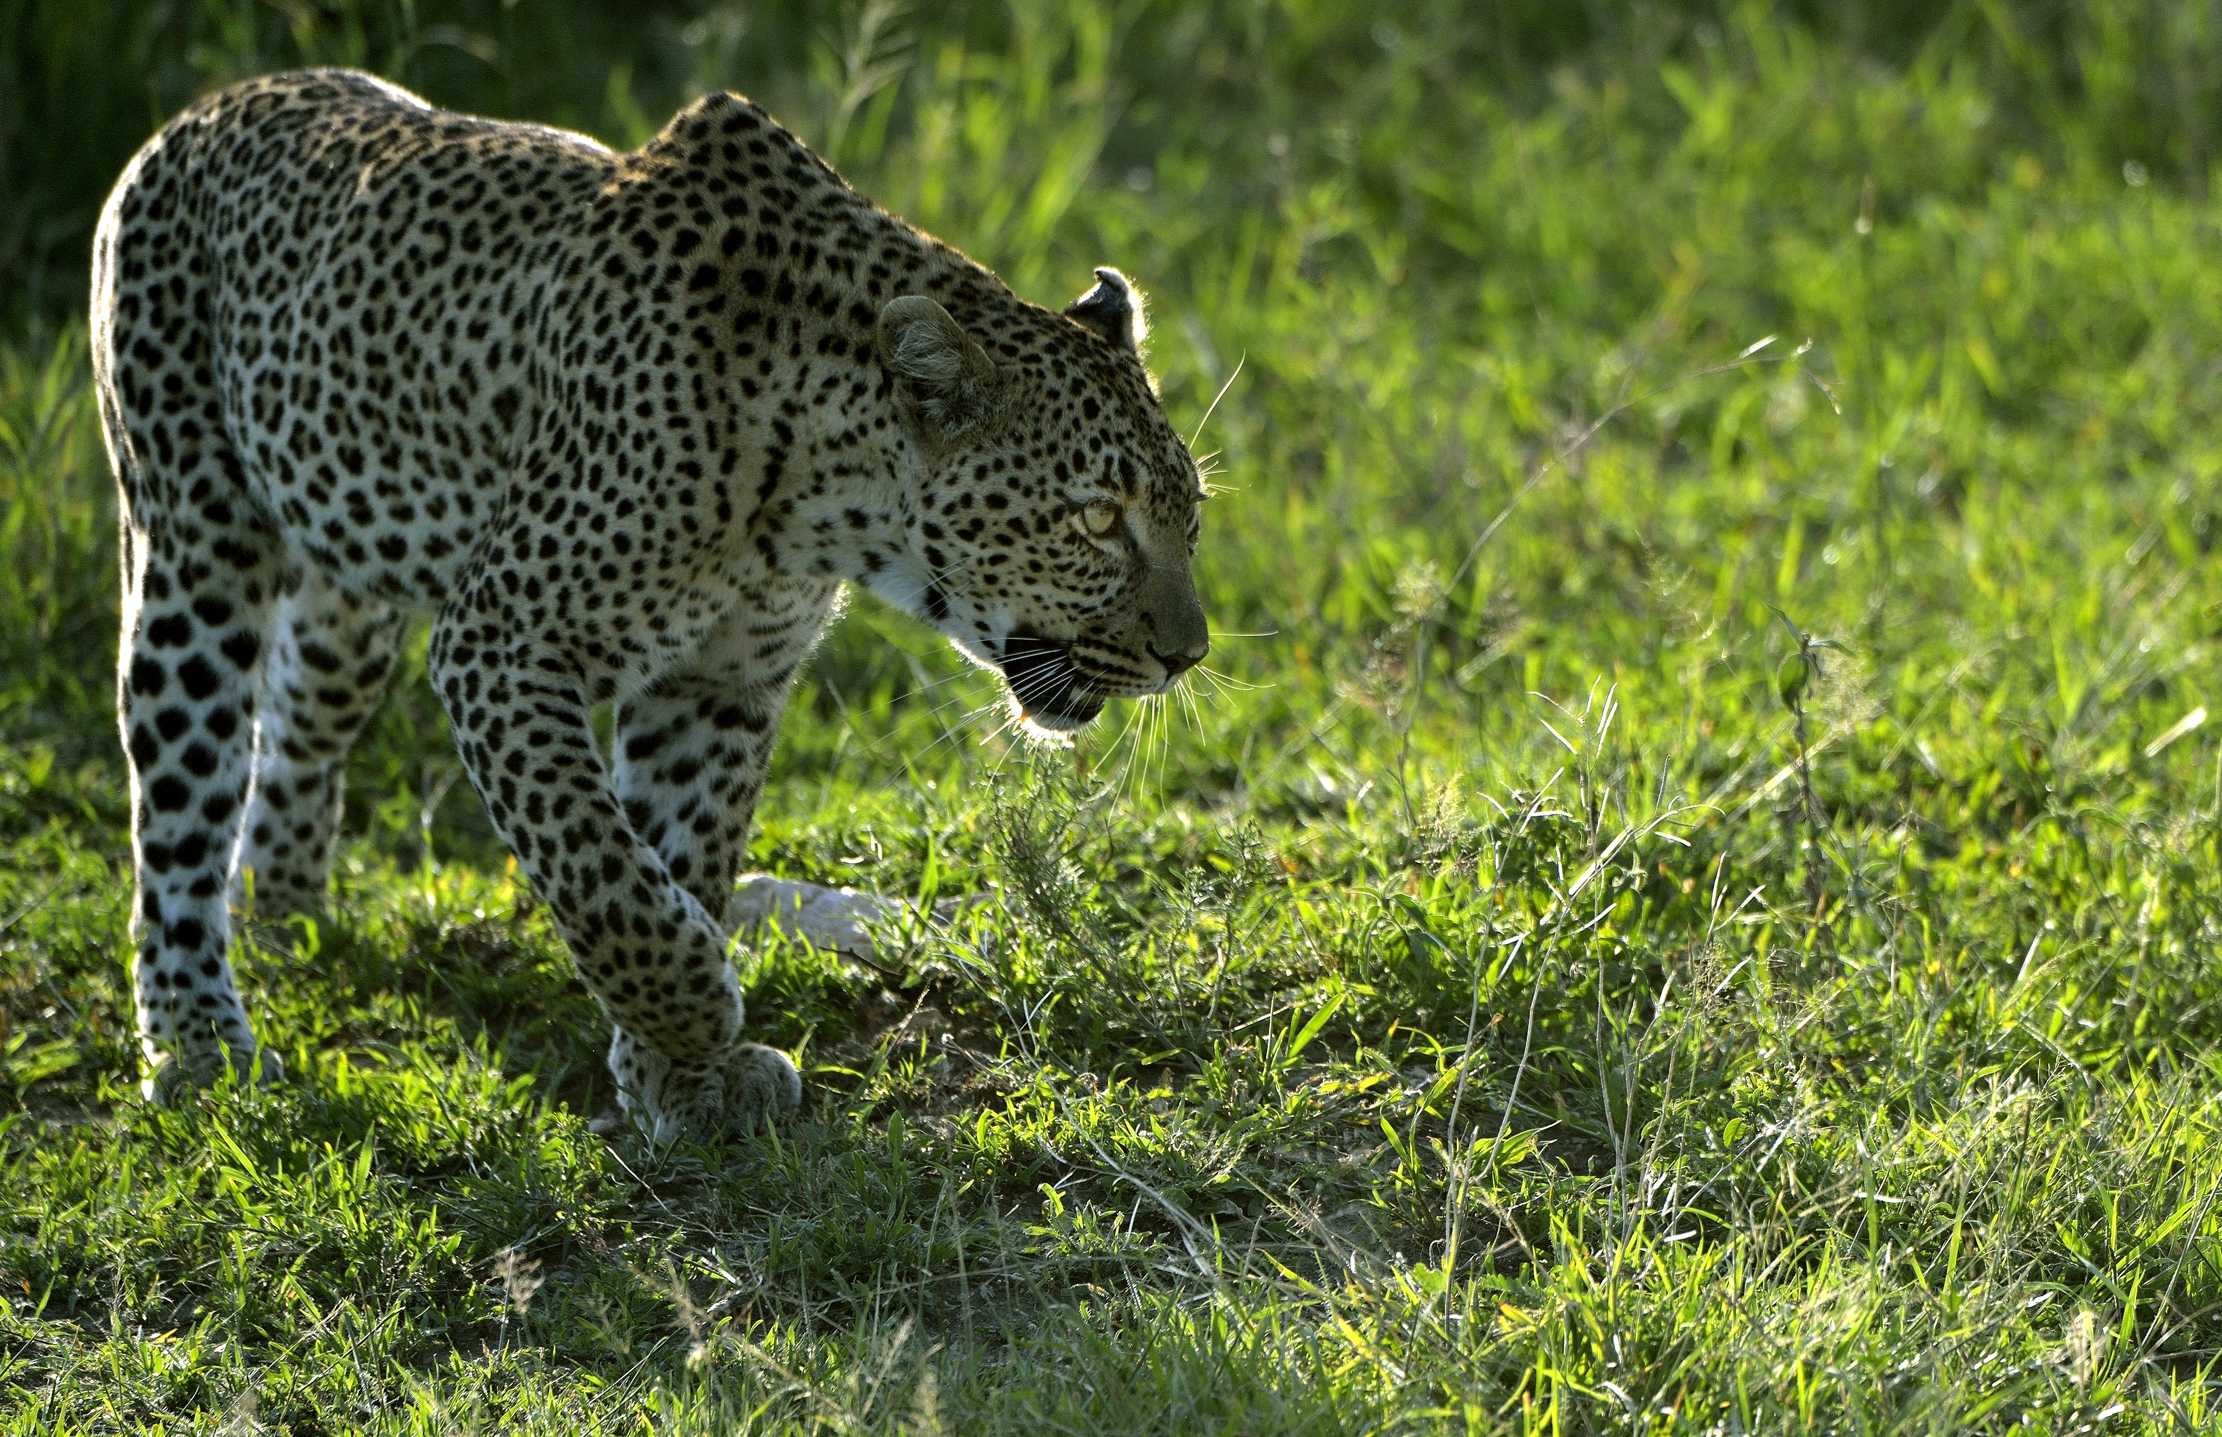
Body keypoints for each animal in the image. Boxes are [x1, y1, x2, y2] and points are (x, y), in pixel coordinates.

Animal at [90, 68, 1209, 1141]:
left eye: (1188, 513)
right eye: (1096, 518)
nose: (1188, 653)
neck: (814, 493)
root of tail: (210, 105)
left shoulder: (717, 682)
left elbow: (680, 849)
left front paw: (678, 1073)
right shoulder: (501, 638)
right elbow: (601, 870)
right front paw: (698, 1010)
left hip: (348, 593)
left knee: (297, 733)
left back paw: (283, 910)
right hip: (191, 554)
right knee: (179, 809)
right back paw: (196, 1039)